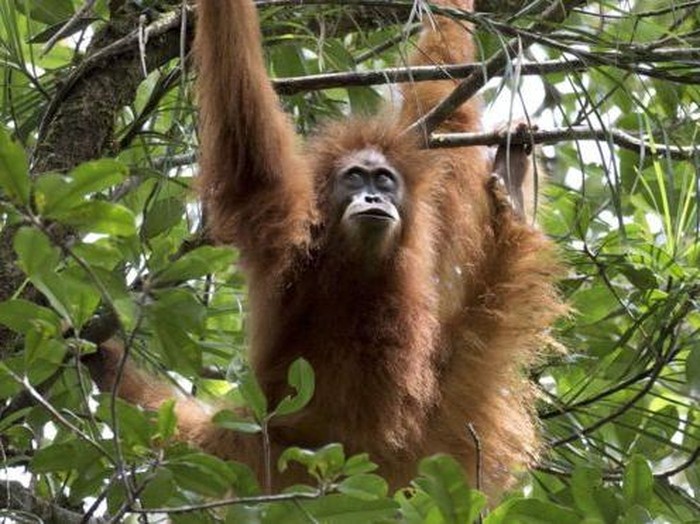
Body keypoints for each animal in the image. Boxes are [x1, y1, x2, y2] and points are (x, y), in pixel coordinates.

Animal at [86, 0, 564, 499]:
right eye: (354, 177)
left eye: (384, 180)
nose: (372, 198)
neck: (359, 265)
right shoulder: (285, 234)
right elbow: (250, 147)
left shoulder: (427, 220)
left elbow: (442, 103)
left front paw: (453, 13)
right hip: (271, 460)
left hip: (435, 440)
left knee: (480, 330)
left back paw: (511, 190)